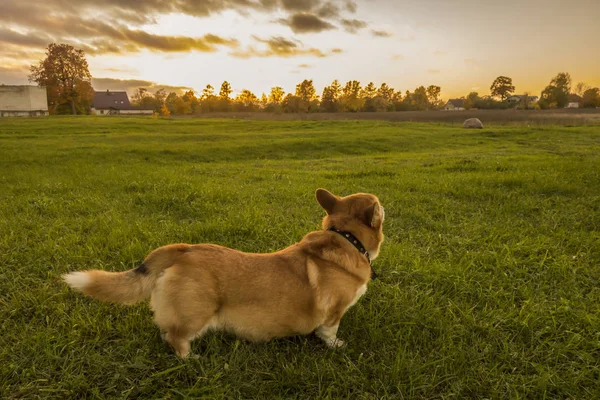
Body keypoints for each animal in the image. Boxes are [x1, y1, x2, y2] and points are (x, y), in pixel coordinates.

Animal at [63, 189, 384, 358]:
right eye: (378, 204)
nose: (385, 203)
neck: (345, 237)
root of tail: (184, 250)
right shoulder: (335, 310)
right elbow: (329, 330)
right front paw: (337, 346)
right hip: (197, 313)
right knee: (176, 337)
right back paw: (191, 359)